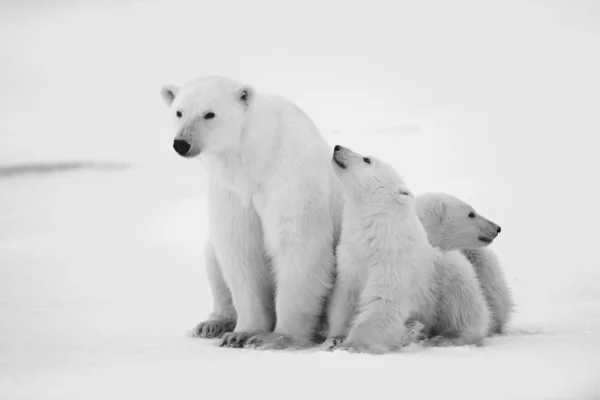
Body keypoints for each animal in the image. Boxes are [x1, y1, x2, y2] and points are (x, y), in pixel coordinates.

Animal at [159, 76, 342, 350]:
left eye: (209, 114)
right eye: (179, 112)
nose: (181, 143)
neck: (258, 162)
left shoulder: (291, 179)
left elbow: (297, 247)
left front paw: (277, 337)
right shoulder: (232, 193)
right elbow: (240, 251)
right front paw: (241, 333)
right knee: (212, 256)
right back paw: (212, 324)